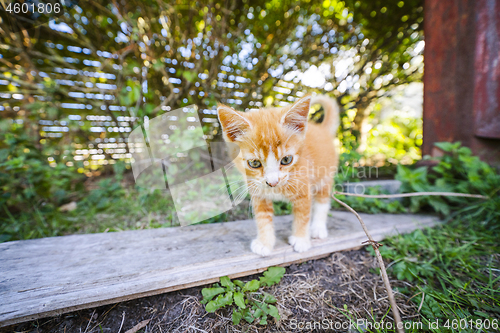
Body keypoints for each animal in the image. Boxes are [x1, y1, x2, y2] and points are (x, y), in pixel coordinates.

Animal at [219, 94, 340, 255]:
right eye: (254, 163)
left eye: (286, 160)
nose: (272, 182)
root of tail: (322, 129)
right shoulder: (258, 193)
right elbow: (263, 219)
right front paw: (264, 243)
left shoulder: (303, 190)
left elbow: (303, 215)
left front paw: (301, 240)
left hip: (325, 176)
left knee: (323, 200)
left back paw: (318, 228)